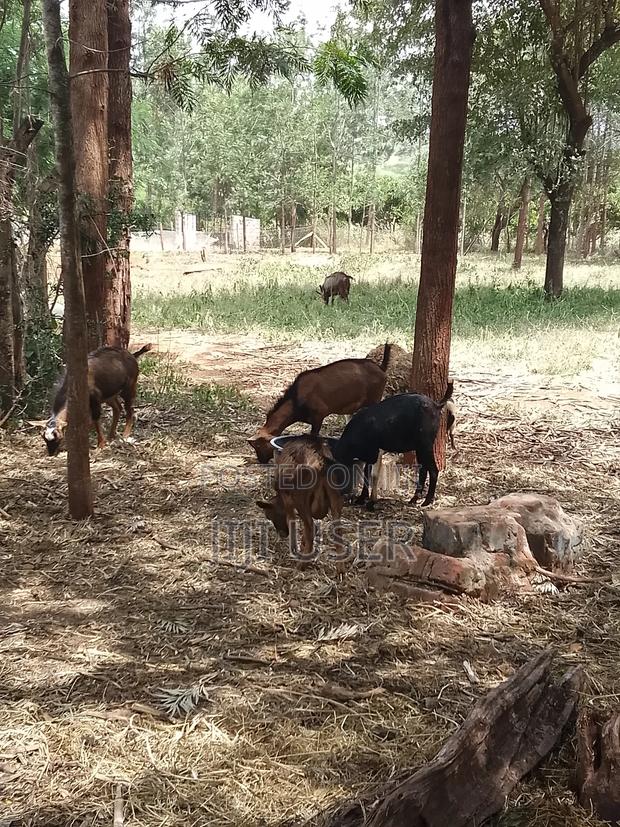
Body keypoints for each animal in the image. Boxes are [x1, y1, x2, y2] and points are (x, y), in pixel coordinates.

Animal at [248, 344, 392, 464]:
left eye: (259, 445)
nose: (261, 460)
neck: (296, 399)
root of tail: (381, 368)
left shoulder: (319, 416)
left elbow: (313, 437)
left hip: (374, 399)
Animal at [256, 436, 346, 567]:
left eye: (269, 515)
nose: (282, 534)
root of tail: (321, 462)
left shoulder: (288, 500)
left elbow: (292, 520)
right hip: (335, 496)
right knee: (337, 528)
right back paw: (340, 567)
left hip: (301, 499)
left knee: (310, 527)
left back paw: (302, 564)